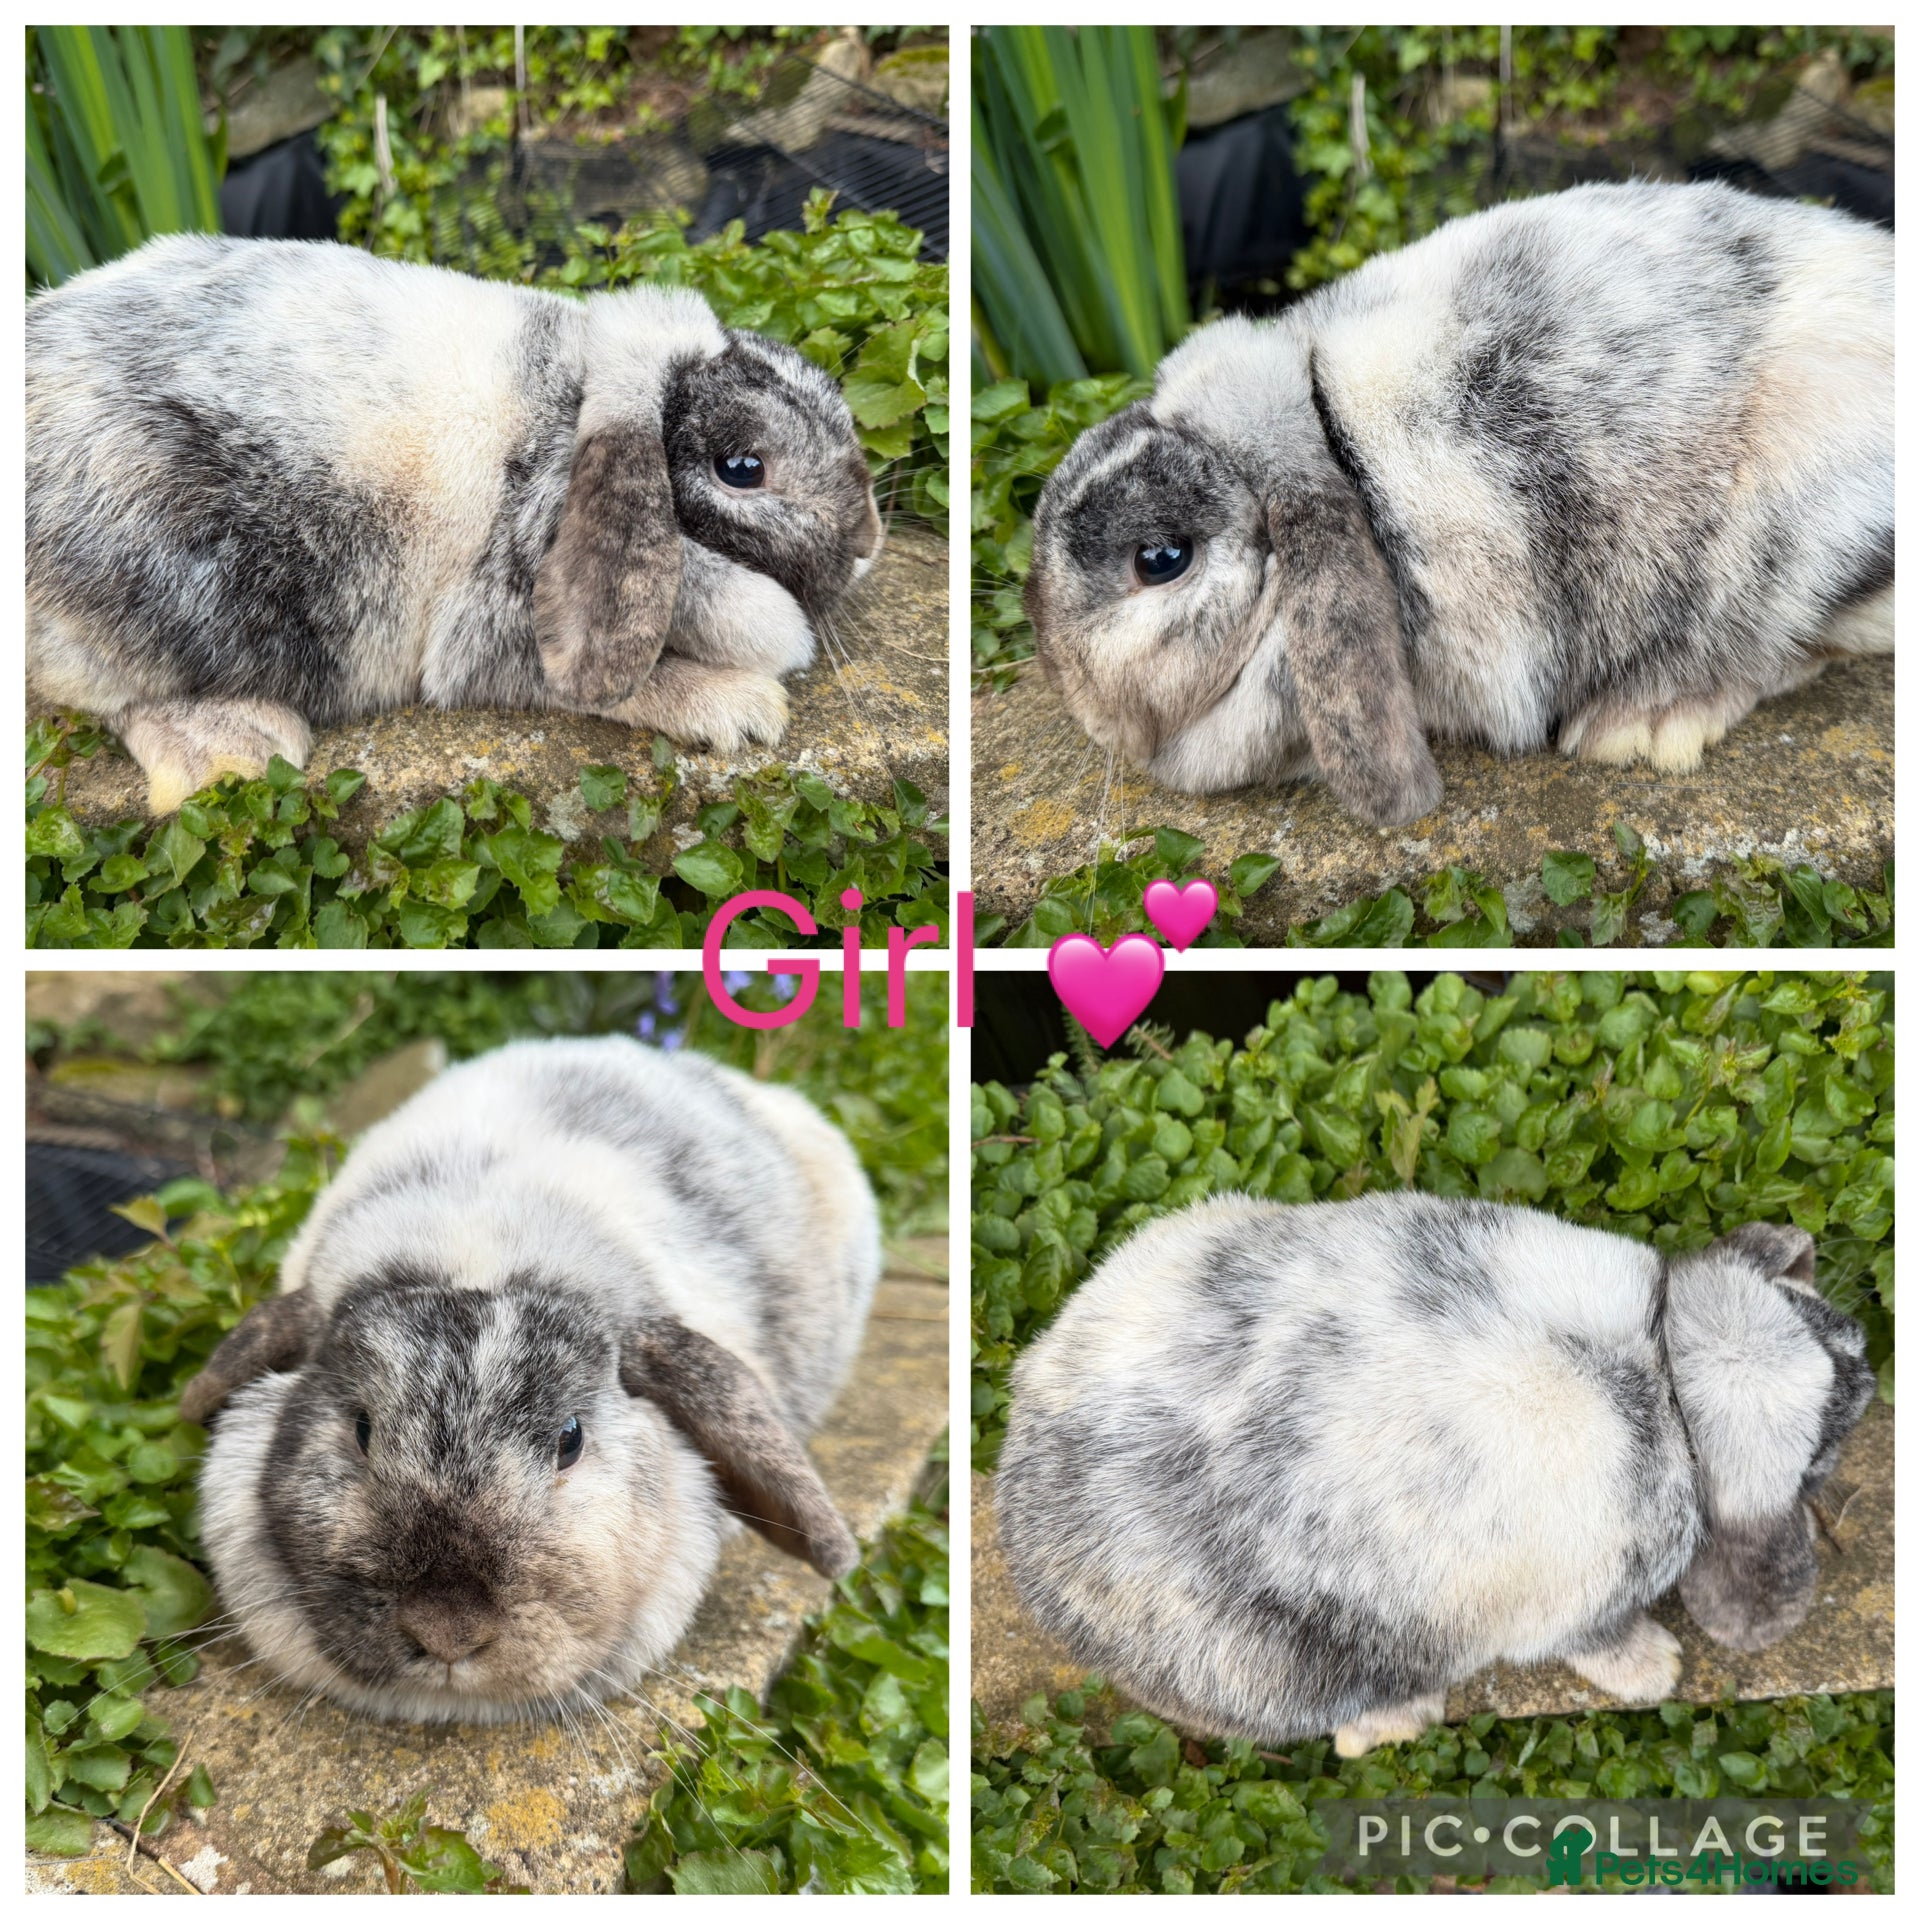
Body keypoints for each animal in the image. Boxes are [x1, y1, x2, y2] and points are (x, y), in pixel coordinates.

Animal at [27, 233, 886, 813]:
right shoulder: (502, 633)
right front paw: (745, 709)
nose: (870, 543)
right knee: (115, 699)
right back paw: (239, 746)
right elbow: (628, 683)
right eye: (742, 467)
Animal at [997, 1192, 1875, 1756]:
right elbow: (1596, 1645)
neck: (1671, 1381)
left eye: (1818, 1322)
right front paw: (1655, 1671)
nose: (1868, 1364)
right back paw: (1401, 1721)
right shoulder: (1582, 1607)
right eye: (1820, 1450)